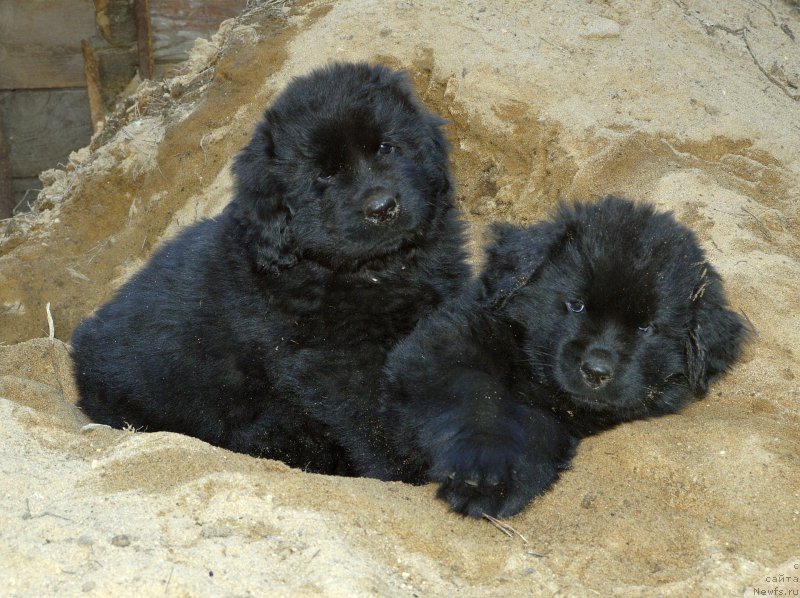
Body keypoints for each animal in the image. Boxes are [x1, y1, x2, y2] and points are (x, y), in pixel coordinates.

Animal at [70, 63, 468, 478]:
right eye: (324, 175)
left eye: (386, 147)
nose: (382, 206)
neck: (376, 270)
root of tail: (82, 344)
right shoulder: (331, 359)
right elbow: (371, 413)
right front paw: (408, 468)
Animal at [384, 197, 748, 520]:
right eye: (577, 305)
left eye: (646, 327)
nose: (596, 371)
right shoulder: (443, 345)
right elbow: (479, 395)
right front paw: (485, 468)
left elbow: (539, 428)